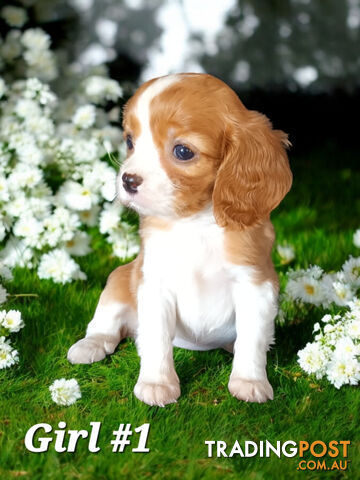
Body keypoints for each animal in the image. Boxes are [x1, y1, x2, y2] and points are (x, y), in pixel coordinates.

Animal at [67, 73, 292, 406]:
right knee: (106, 324)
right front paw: (157, 383)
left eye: (183, 151)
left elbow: (251, 339)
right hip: (119, 280)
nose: (128, 180)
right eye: (130, 141)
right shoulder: (154, 284)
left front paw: (249, 381)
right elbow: (157, 339)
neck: (195, 223)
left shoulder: (255, 284)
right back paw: (90, 344)